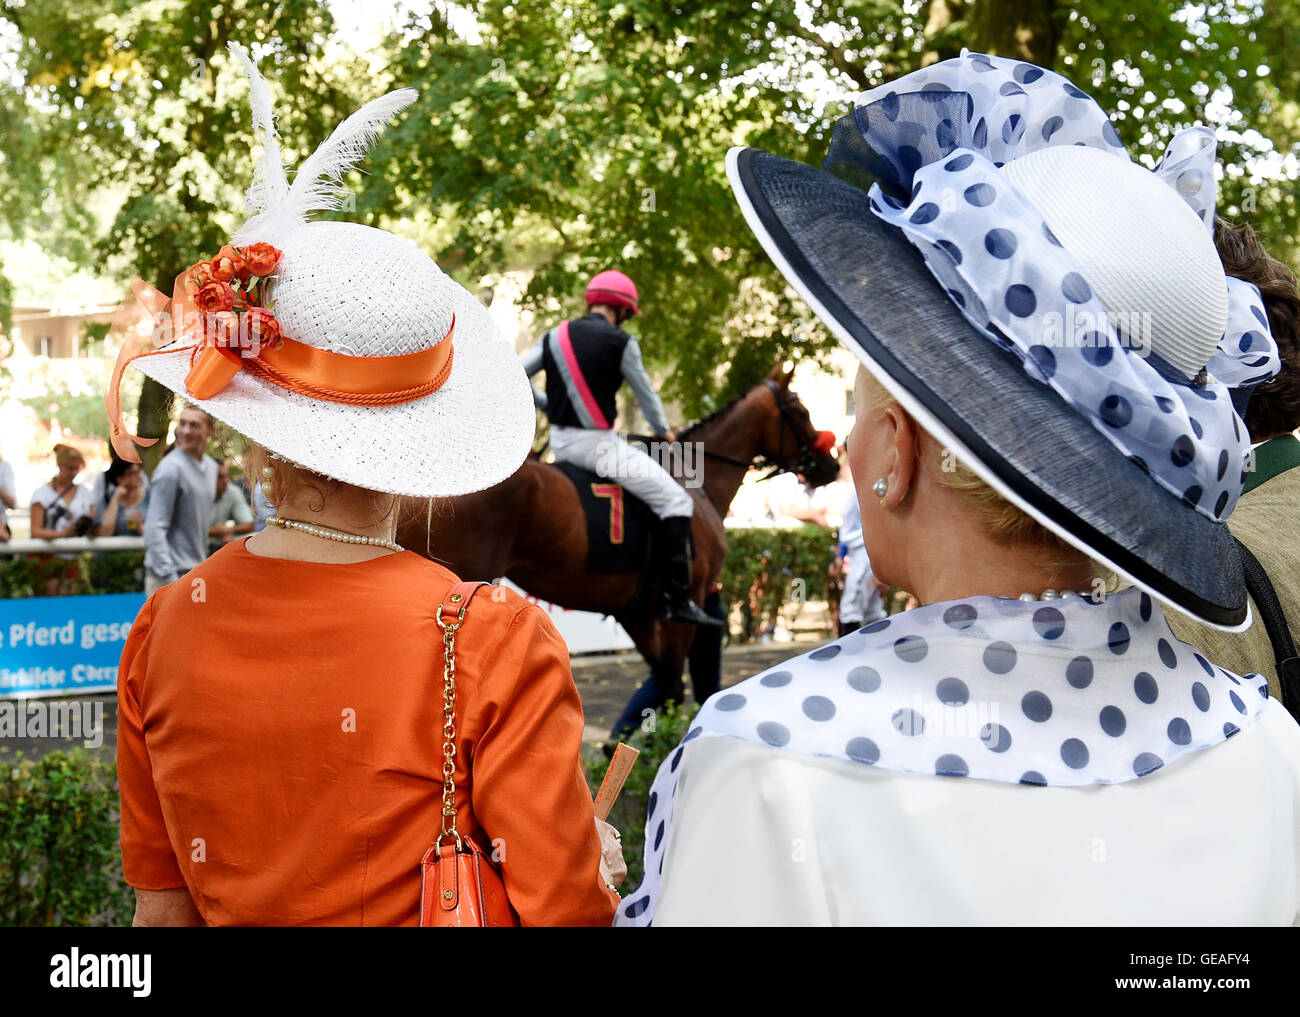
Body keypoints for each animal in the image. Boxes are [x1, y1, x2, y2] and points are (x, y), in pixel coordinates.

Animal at [397, 366, 842, 717]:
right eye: (801, 411)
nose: (832, 466)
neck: (696, 483)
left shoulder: (637, 613)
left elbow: (662, 682)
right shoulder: (685, 606)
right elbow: (672, 685)